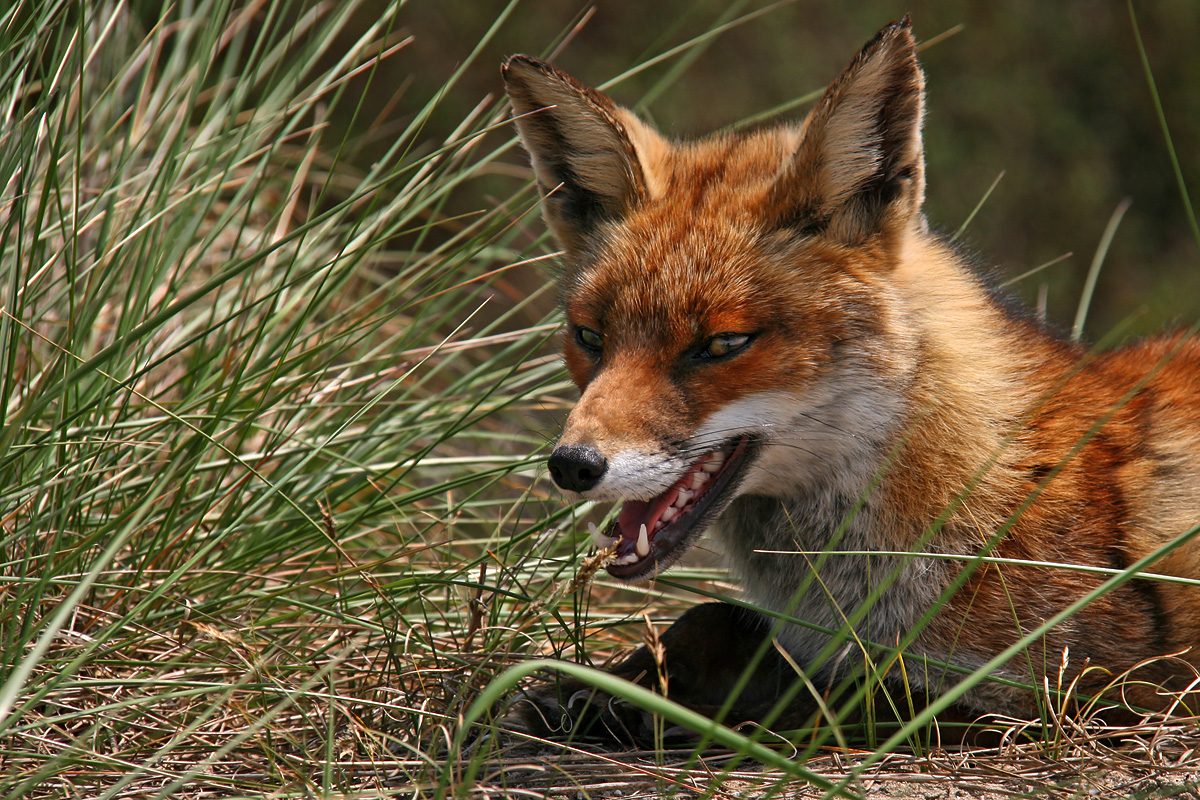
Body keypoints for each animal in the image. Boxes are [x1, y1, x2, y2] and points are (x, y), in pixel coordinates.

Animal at [499, 17, 1200, 743]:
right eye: (590, 337)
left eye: (722, 344)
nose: (572, 465)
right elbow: (711, 618)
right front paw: (608, 686)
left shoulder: (1082, 693)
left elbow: (847, 695)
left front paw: (657, 709)